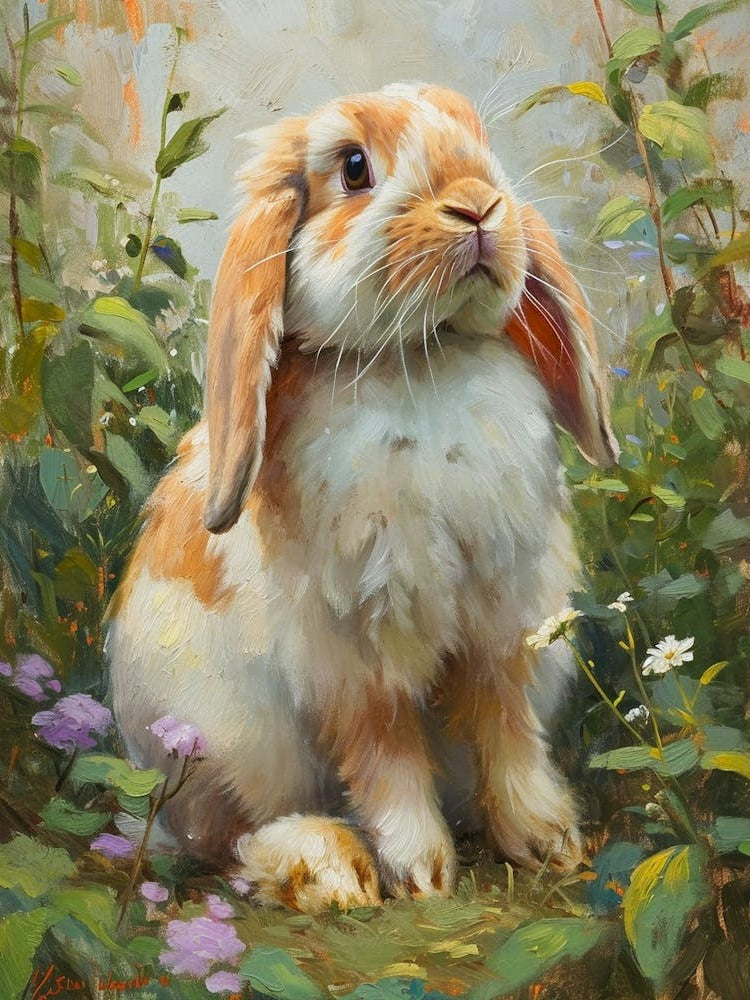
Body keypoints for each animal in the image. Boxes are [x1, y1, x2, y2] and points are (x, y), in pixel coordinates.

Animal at [107, 82, 619, 913]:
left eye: (479, 140)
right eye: (353, 169)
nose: (478, 204)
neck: (421, 356)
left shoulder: (503, 623)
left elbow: (506, 726)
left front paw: (548, 842)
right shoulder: (356, 648)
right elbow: (385, 753)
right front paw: (423, 873)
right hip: (222, 743)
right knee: (225, 842)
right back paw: (328, 868)